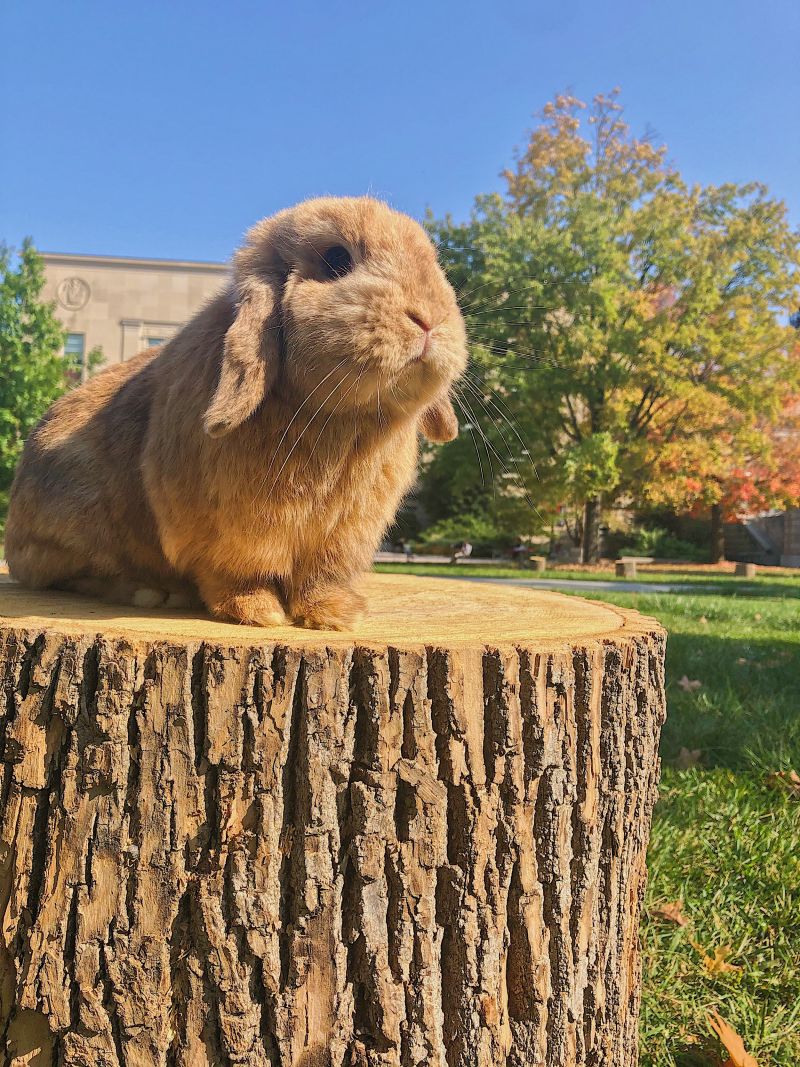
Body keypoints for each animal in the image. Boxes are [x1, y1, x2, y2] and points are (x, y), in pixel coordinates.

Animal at [4, 196, 469, 627]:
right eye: (337, 259)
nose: (429, 321)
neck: (337, 416)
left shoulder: (341, 537)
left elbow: (320, 578)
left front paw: (337, 615)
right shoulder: (228, 531)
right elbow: (234, 574)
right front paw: (260, 612)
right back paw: (151, 592)